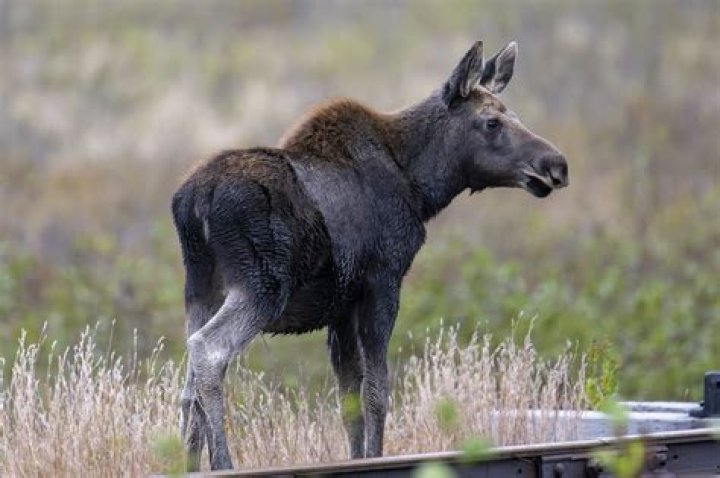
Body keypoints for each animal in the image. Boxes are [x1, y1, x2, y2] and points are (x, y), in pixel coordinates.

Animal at [171, 40, 568, 471]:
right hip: (261, 288)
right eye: (492, 122)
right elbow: (377, 393)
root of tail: (192, 202)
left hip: (201, 288)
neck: (422, 187)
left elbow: (349, 400)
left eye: (514, 115)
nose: (556, 164)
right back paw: (223, 463)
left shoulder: (341, 307)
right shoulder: (383, 282)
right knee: (208, 351)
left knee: (188, 382)